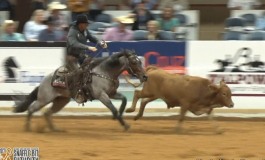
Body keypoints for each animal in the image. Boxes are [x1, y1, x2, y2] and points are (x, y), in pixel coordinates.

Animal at [12, 49, 146, 131]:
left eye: (140, 61)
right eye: (134, 62)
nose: (145, 76)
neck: (104, 72)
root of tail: (43, 82)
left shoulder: (112, 93)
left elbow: (124, 99)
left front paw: (121, 115)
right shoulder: (101, 95)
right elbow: (113, 108)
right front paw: (124, 124)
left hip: (61, 101)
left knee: (47, 113)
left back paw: (54, 129)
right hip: (44, 99)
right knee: (31, 109)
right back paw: (28, 128)